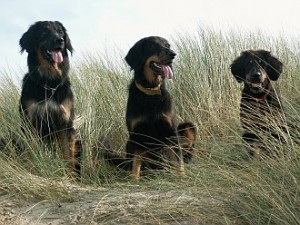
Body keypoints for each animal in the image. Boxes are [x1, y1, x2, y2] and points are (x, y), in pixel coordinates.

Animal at [19, 21, 81, 175]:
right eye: (43, 32)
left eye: (60, 32)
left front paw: (69, 177)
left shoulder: (65, 123)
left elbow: (68, 157)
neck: (48, 83)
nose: (60, 40)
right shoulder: (31, 122)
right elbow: (31, 152)